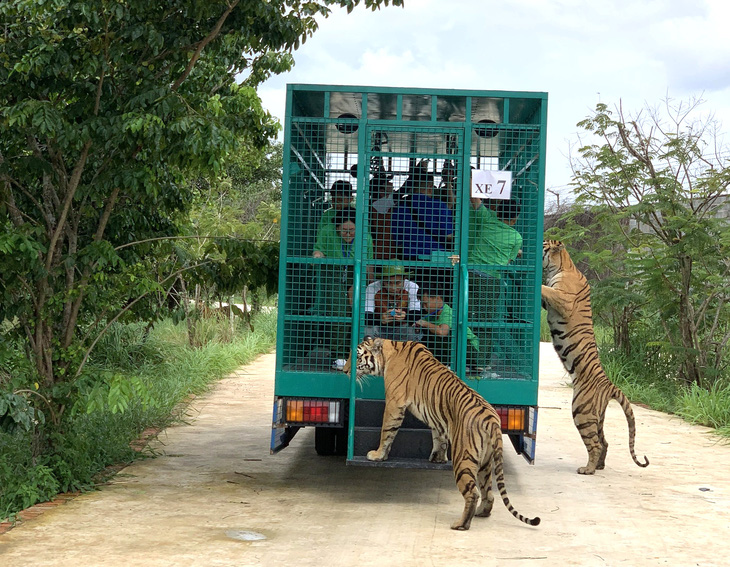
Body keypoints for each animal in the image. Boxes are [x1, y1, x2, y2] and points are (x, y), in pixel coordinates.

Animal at [540, 239, 648, 474]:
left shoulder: (561, 298)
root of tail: (610, 385)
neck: (562, 266)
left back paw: (587, 469)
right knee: (604, 441)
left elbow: (545, 289)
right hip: (596, 416)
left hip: (582, 410)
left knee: (596, 444)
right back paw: (598, 466)